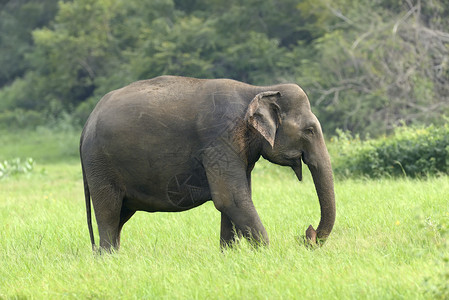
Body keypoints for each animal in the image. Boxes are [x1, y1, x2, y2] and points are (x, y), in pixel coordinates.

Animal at [79, 75, 334, 251]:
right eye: (310, 130)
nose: (307, 235)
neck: (259, 89)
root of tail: (87, 123)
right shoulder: (219, 139)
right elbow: (231, 199)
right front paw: (266, 254)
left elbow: (236, 200)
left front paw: (229, 255)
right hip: (101, 165)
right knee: (109, 213)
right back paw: (108, 258)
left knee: (120, 216)